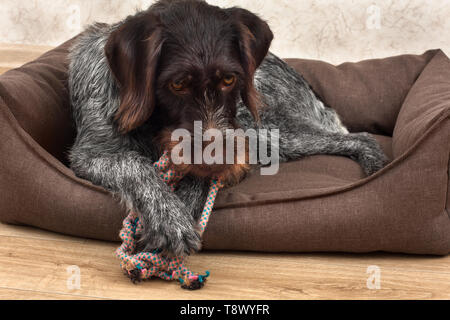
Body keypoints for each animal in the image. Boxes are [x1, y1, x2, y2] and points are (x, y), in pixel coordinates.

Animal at [67, 0, 386, 258]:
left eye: (230, 79)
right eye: (177, 83)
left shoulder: (236, 140)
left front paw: (184, 204)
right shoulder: (91, 153)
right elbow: (135, 166)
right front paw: (169, 217)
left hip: (269, 133)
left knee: (360, 138)